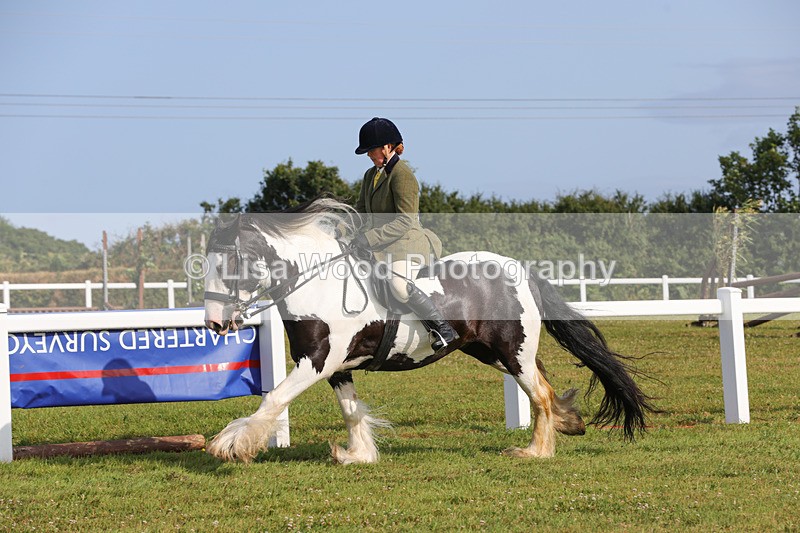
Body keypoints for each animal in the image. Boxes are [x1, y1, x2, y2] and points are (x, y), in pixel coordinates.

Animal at [202, 198, 655, 464]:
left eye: (232, 264)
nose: (214, 323)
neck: (318, 285)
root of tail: (521, 269)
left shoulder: (316, 362)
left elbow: (273, 398)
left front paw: (232, 444)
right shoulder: (337, 367)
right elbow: (350, 410)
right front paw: (358, 455)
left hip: (512, 352)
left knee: (539, 394)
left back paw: (535, 452)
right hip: (492, 352)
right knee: (541, 385)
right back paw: (568, 421)